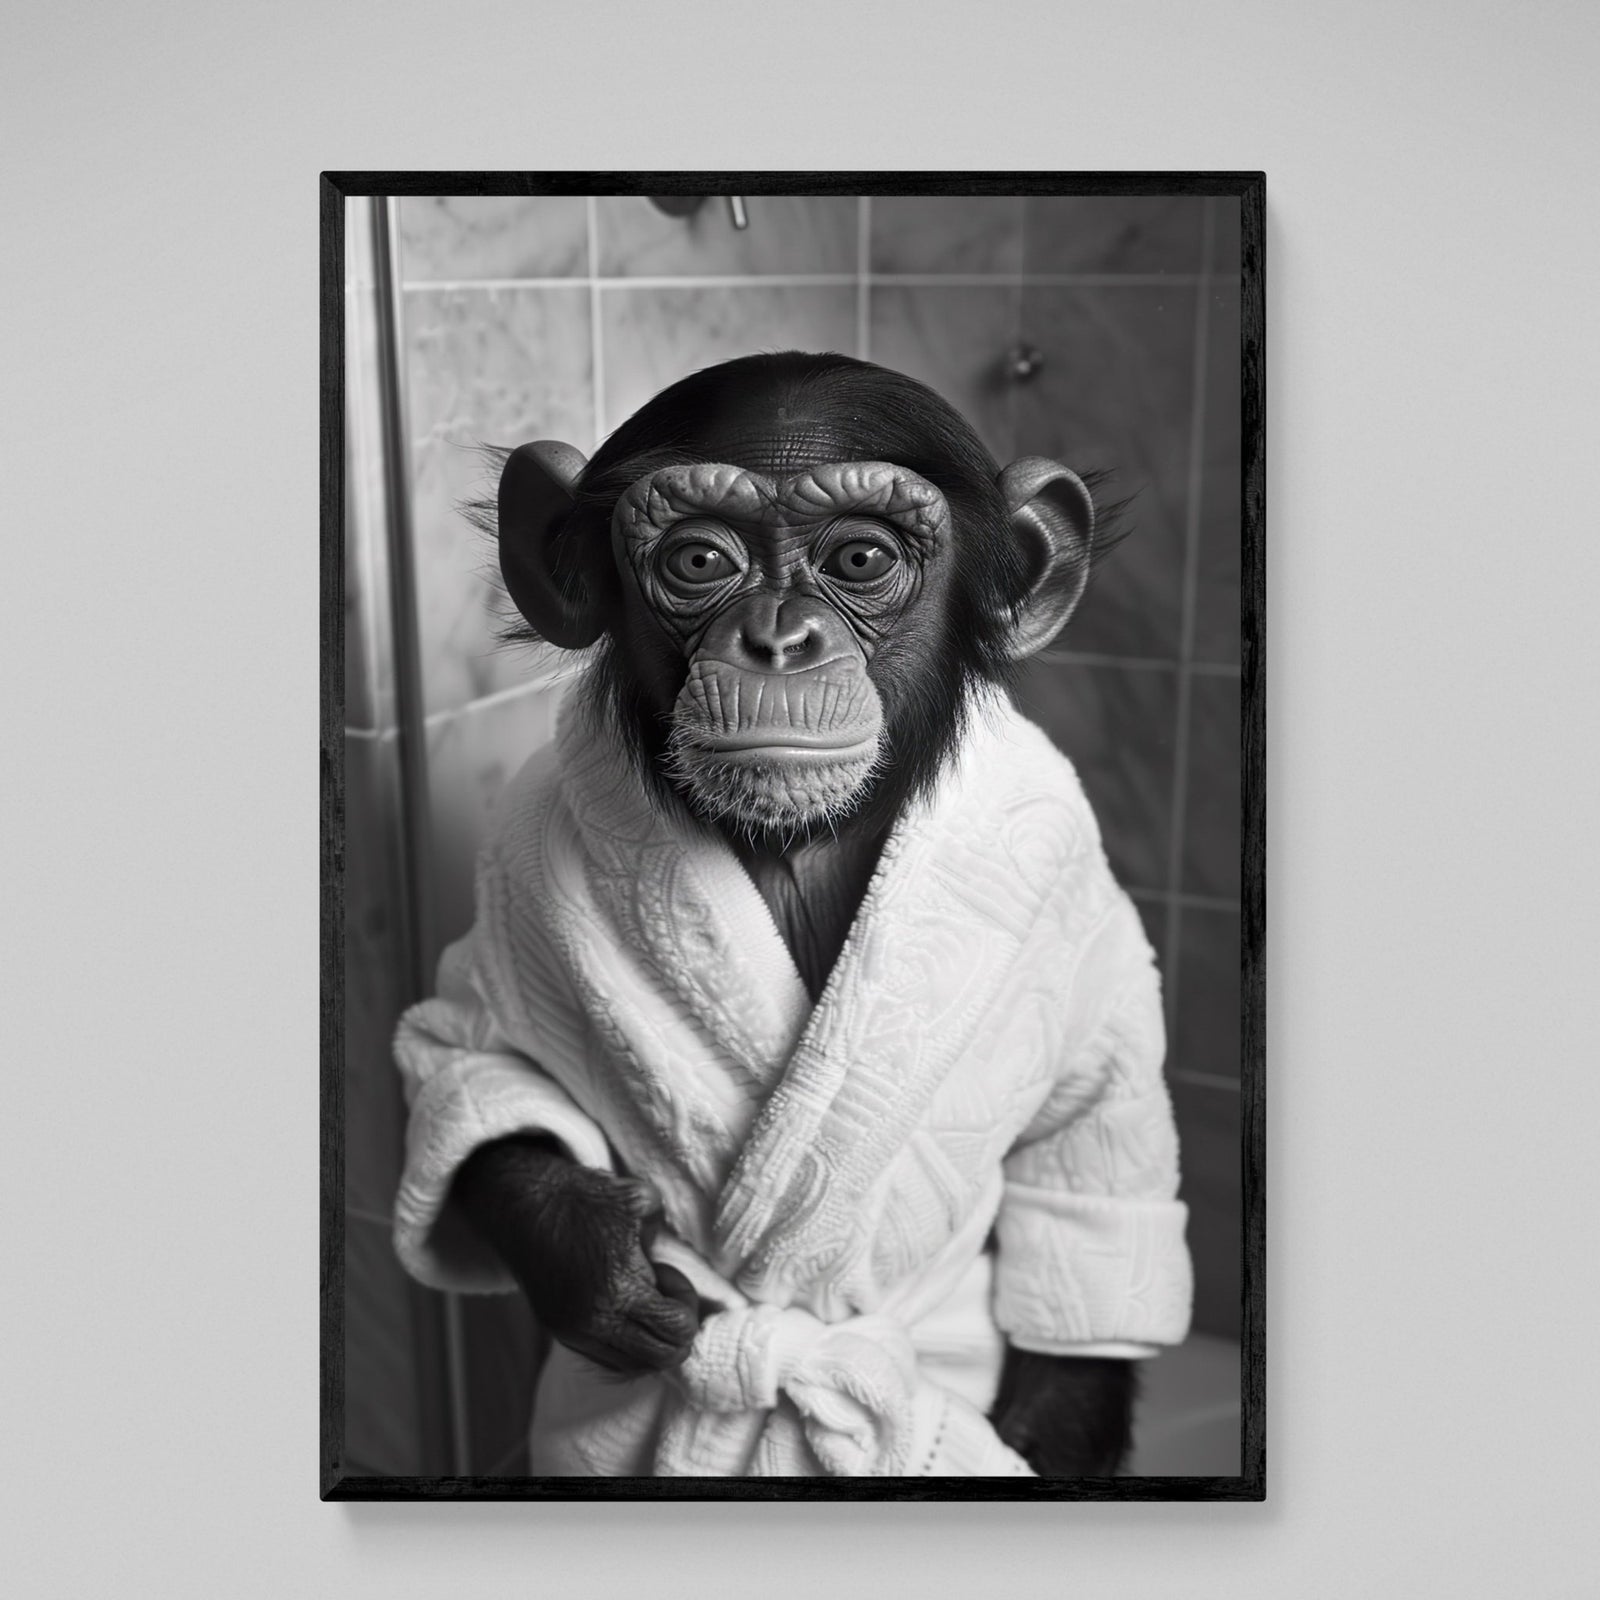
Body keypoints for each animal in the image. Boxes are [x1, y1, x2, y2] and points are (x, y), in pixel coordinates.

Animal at [392, 351, 1192, 1478]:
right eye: (697, 559)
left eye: (859, 557)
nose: (778, 639)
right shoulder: (517, 857)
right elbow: (469, 1060)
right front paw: (589, 1258)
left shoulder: (1071, 881)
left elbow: (1087, 1140)